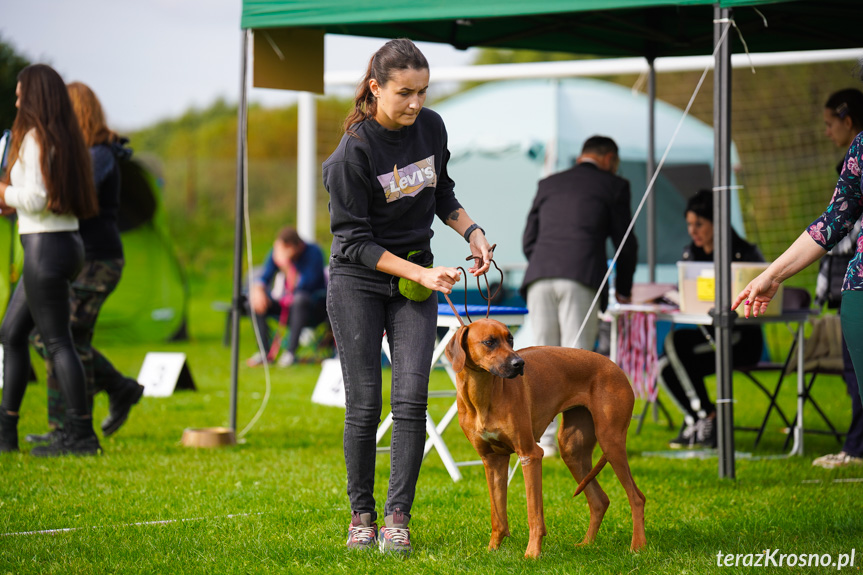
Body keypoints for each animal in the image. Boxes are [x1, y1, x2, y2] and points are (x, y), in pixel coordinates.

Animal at [442, 320, 644, 560]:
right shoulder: (492, 461)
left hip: (610, 441)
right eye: (489, 342)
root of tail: (616, 366)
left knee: (636, 497)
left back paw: (638, 547)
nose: (519, 364)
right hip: (572, 449)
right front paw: (492, 550)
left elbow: (534, 513)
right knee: (599, 500)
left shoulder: (530, 455)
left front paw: (532, 553)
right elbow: (497, 514)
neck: (482, 394)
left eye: (510, 339)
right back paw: (587, 544)